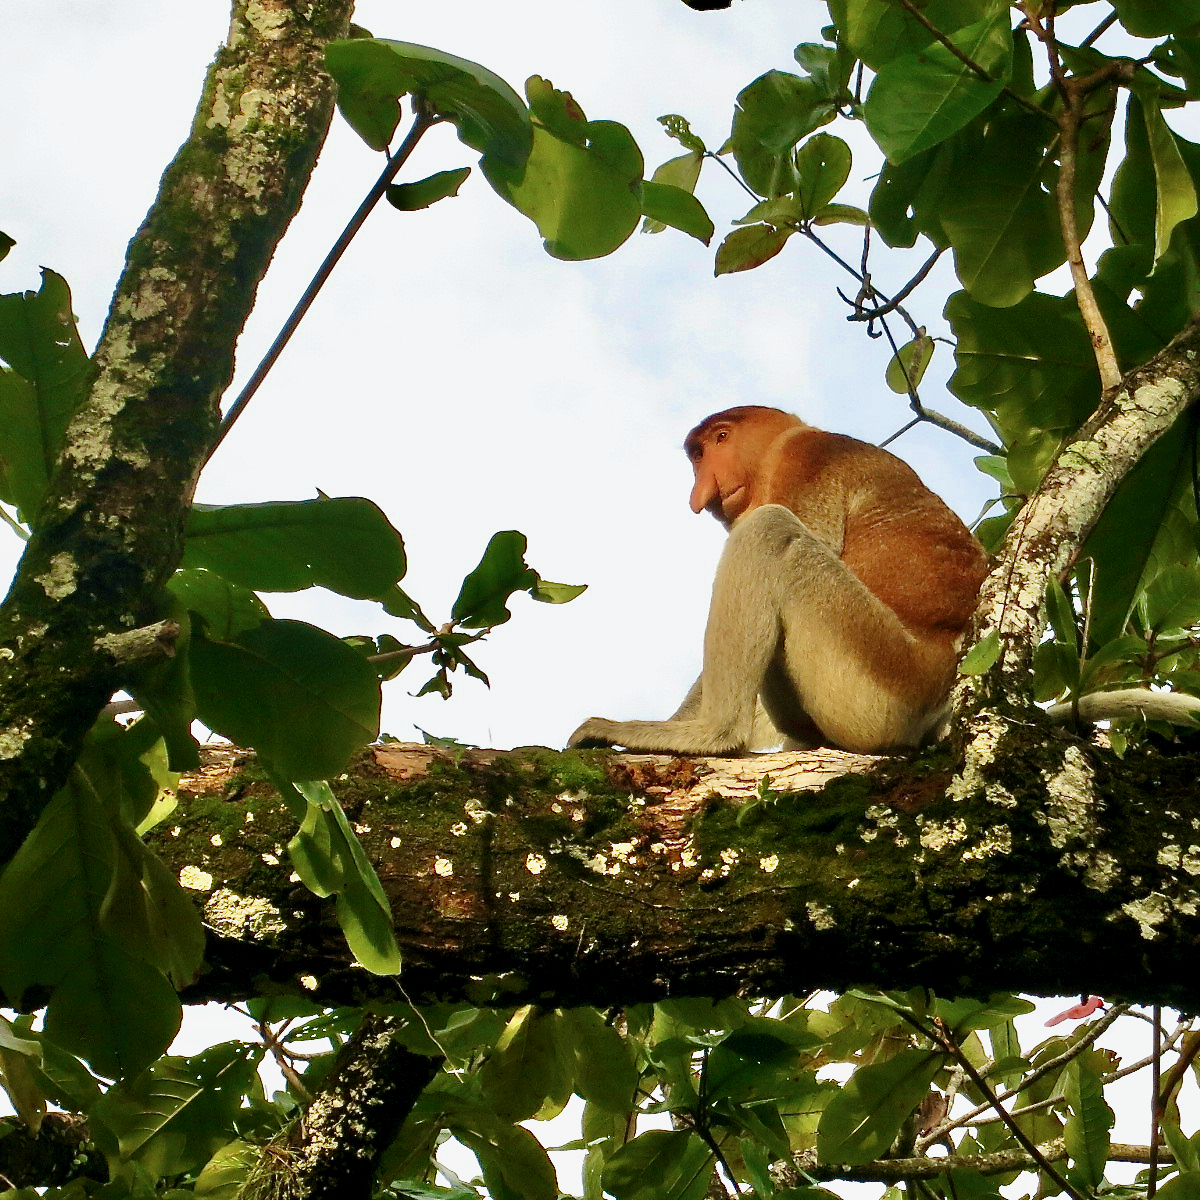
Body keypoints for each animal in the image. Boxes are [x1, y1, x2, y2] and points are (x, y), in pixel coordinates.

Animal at [566, 408, 988, 753]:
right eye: (697, 455)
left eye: (721, 438)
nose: (700, 488)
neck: (777, 448)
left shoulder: (806, 462)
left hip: (881, 676)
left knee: (770, 530)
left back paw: (714, 734)